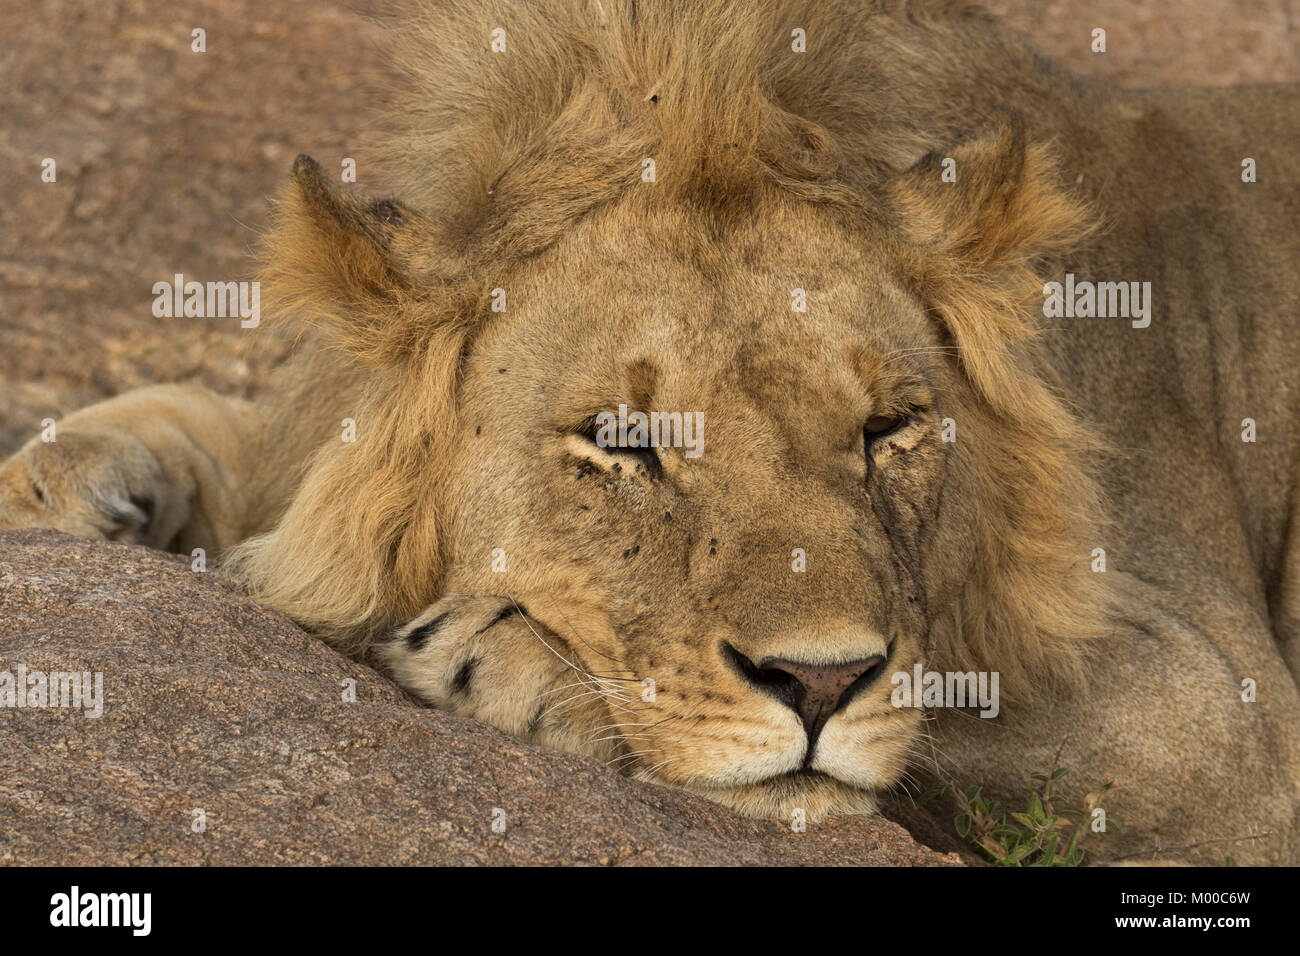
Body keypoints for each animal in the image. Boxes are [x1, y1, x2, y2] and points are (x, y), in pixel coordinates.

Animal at [2, 0, 1300, 868]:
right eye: (624, 440)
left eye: (888, 428)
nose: (819, 682)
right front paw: (64, 477)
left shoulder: (1226, 718)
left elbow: (945, 697)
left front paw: (503, 654)